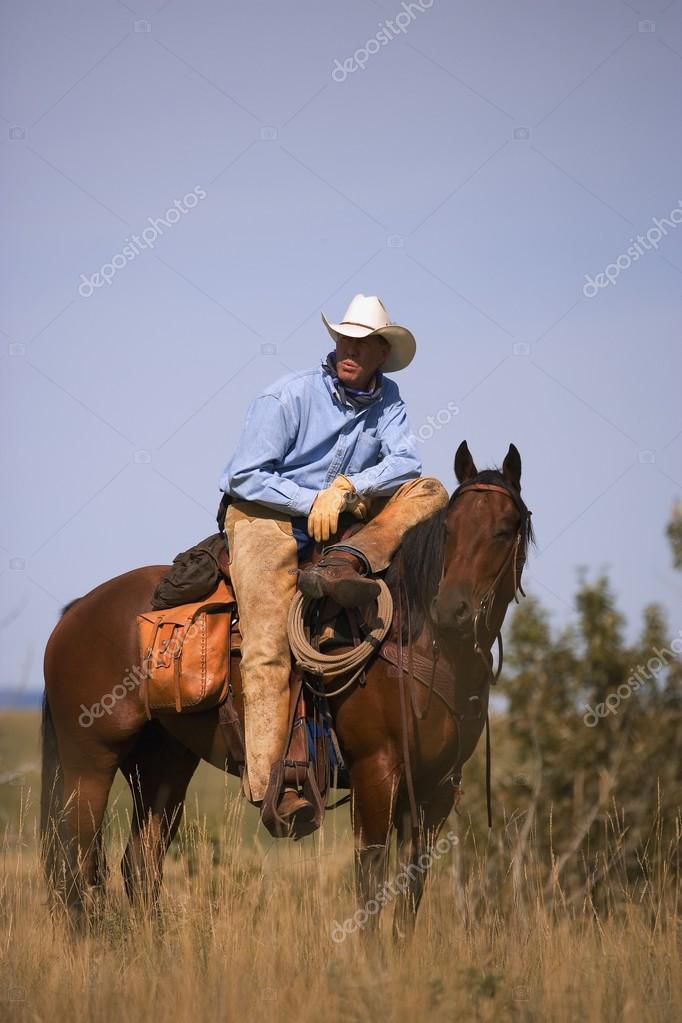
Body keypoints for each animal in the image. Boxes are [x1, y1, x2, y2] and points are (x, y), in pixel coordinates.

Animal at [40, 440, 533, 938]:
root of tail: (76, 611)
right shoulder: (376, 772)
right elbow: (372, 881)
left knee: (140, 866)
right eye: (449, 529)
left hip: (162, 766)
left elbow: (411, 888)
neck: (419, 644)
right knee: (74, 864)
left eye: (506, 529)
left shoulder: (438, 787)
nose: (452, 610)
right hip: (89, 761)